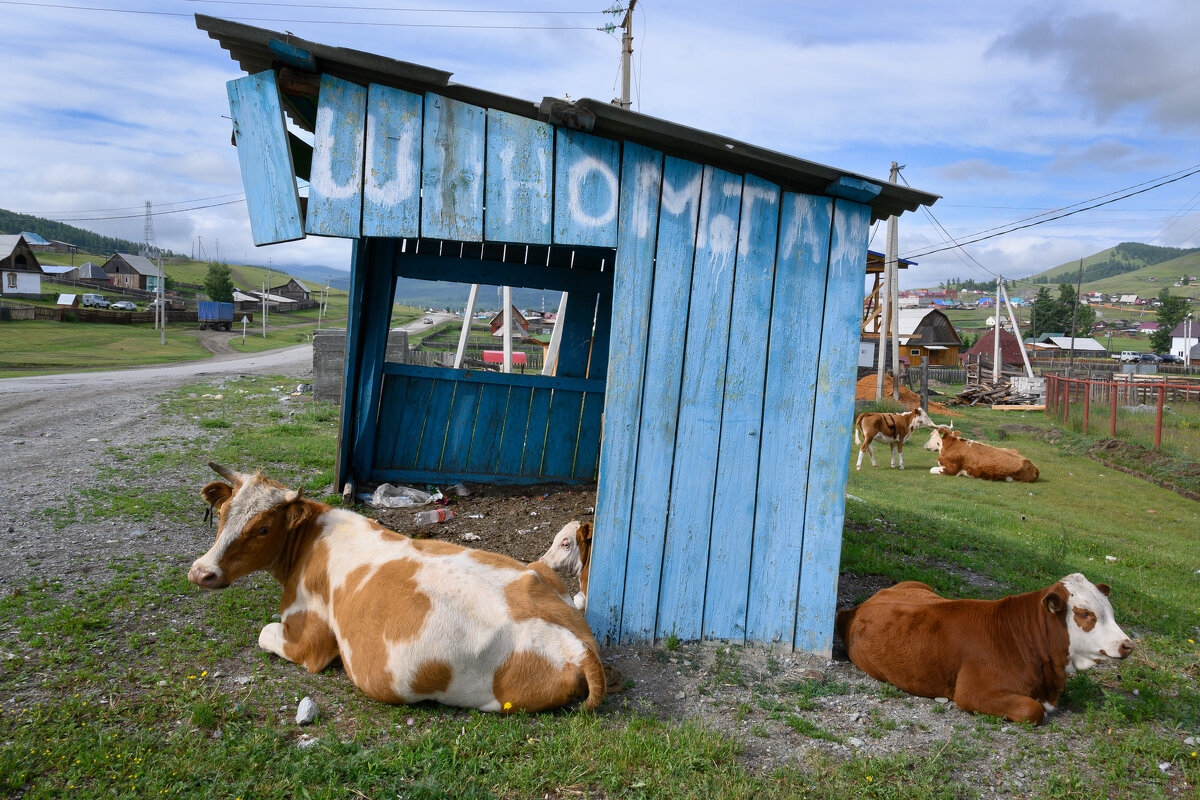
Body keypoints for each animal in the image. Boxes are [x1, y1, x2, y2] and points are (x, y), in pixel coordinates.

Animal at [193, 462, 609, 714]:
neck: (310, 540)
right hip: (541, 573)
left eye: (263, 528)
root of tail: (581, 649)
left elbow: (265, 633)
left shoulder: (309, 642)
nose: (201, 572)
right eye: (223, 513)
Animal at [835, 575, 1132, 724]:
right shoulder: (971, 693)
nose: (1127, 644)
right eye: (1084, 614)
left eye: (1111, 611)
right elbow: (1031, 710)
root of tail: (859, 607)